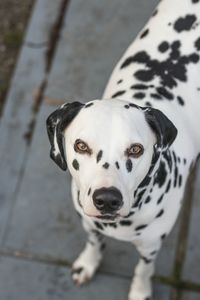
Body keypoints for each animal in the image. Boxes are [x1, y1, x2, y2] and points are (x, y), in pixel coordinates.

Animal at [46, 0, 200, 298]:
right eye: (81, 146)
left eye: (136, 149)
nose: (107, 199)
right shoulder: (88, 222)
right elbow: (94, 242)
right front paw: (88, 263)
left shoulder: (151, 246)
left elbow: (143, 269)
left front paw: (140, 290)